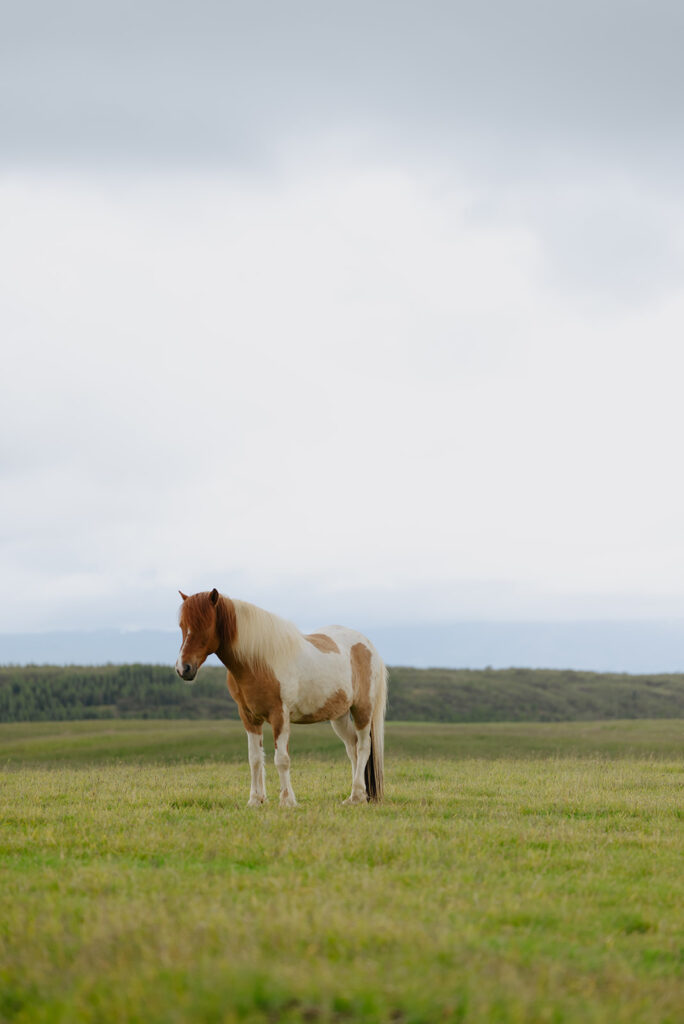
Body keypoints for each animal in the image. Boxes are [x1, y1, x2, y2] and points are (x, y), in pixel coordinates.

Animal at [176, 593, 387, 806]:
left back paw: (358, 795)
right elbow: (255, 758)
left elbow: (282, 759)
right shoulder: (249, 717)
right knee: (352, 747)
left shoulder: (280, 716)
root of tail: (368, 645)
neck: (259, 661)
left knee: (363, 747)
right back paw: (354, 797)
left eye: (205, 625)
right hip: (339, 716)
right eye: (182, 625)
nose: (183, 668)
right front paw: (255, 800)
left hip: (362, 710)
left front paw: (287, 800)